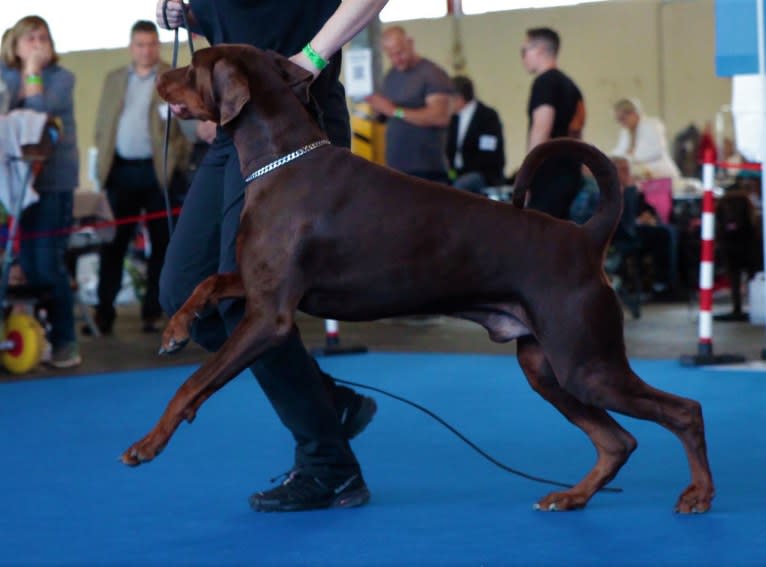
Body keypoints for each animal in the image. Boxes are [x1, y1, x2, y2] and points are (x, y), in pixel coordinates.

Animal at [123, 45, 716, 516]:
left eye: (193, 66)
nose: (158, 77)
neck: (281, 161)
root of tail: (586, 236)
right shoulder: (258, 286)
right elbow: (206, 284)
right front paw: (174, 330)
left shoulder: (269, 316)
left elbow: (192, 382)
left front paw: (147, 443)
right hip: (546, 367)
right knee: (616, 441)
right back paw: (572, 496)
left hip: (585, 362)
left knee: (684, 410)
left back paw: (698, 494)